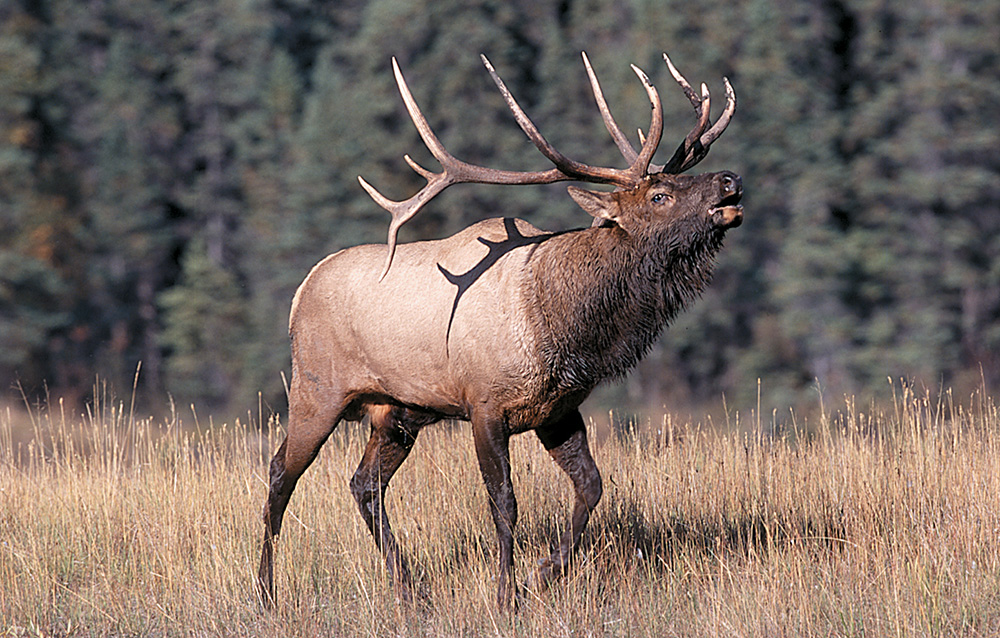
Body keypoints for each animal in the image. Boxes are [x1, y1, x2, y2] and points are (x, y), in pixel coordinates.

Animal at [257, 51, 742, 609]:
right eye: (660, 195)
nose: (730, 179)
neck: (562, 326)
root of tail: (299, 293)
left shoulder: (557, 409)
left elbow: (592, 488)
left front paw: (541, 574)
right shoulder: (484, 405)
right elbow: (504, 503)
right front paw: (506, 593)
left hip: (397, 412)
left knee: (364, 485)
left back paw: (410, 587)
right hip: (317, 390)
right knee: (280, 474)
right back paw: (266, 591)